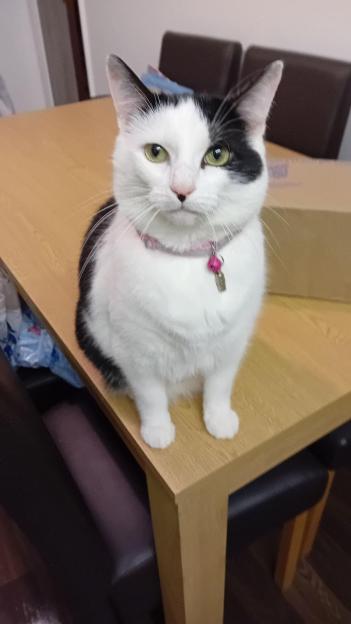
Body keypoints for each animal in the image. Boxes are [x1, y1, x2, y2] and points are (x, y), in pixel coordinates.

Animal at [76, 56, 284, 446]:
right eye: (155, 152)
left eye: (218, 154)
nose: (182, 189)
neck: (186, 258)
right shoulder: (134, 349)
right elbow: (149, 392)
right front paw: (157, 430)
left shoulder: (233, 341)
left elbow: (220, 382)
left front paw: (218, 418)